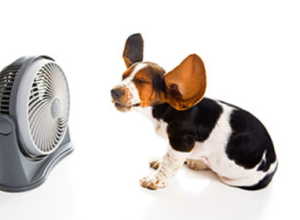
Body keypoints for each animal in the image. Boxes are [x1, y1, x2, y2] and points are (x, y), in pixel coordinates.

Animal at [111, 33, 278, 190]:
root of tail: (274, 166)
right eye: (123, 76)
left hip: (236, 180)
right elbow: (167, 155)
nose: (114, 92)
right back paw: (197, 162)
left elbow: (169, 161)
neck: (168, 110)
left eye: (142, 81)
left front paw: (155, 180)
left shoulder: (181, 143)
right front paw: (159, 161)